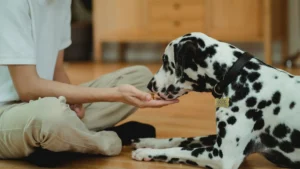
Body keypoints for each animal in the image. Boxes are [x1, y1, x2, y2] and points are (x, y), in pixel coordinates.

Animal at [131, 32, 300, 169]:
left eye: (166, 61)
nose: (150, 84)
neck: (238, 76)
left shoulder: (222, 156)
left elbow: (178, 150)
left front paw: (145, 152)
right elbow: (180, 139)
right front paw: (148, 141)